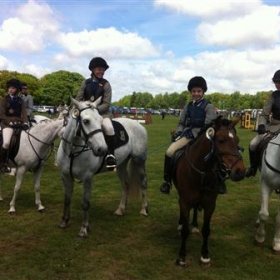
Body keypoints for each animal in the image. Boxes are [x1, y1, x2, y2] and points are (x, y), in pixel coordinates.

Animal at [57, 97, 149, 237]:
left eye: (100, 120)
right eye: (86, 121)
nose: (102, 149)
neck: (72, 151)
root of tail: (138, 124)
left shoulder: (87, 178)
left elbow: (85, 203)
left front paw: (84, 229)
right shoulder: (65, 176)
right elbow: (67, 200)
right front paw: (64, 222)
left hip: (139, 160)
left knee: (143, 183)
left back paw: (144, 209)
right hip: (121, 164)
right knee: (125, 184)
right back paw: (120, 209)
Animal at [174, 116, 246, 266]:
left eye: (237, 140)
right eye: (221, 140)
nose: (240, 172)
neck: (201, 172)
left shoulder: (210, 204)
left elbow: (206, 230)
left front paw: (205, 255)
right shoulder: (185, 202)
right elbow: (185, 230)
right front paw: (182, 256)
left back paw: (195, 225)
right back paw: (180, 224)